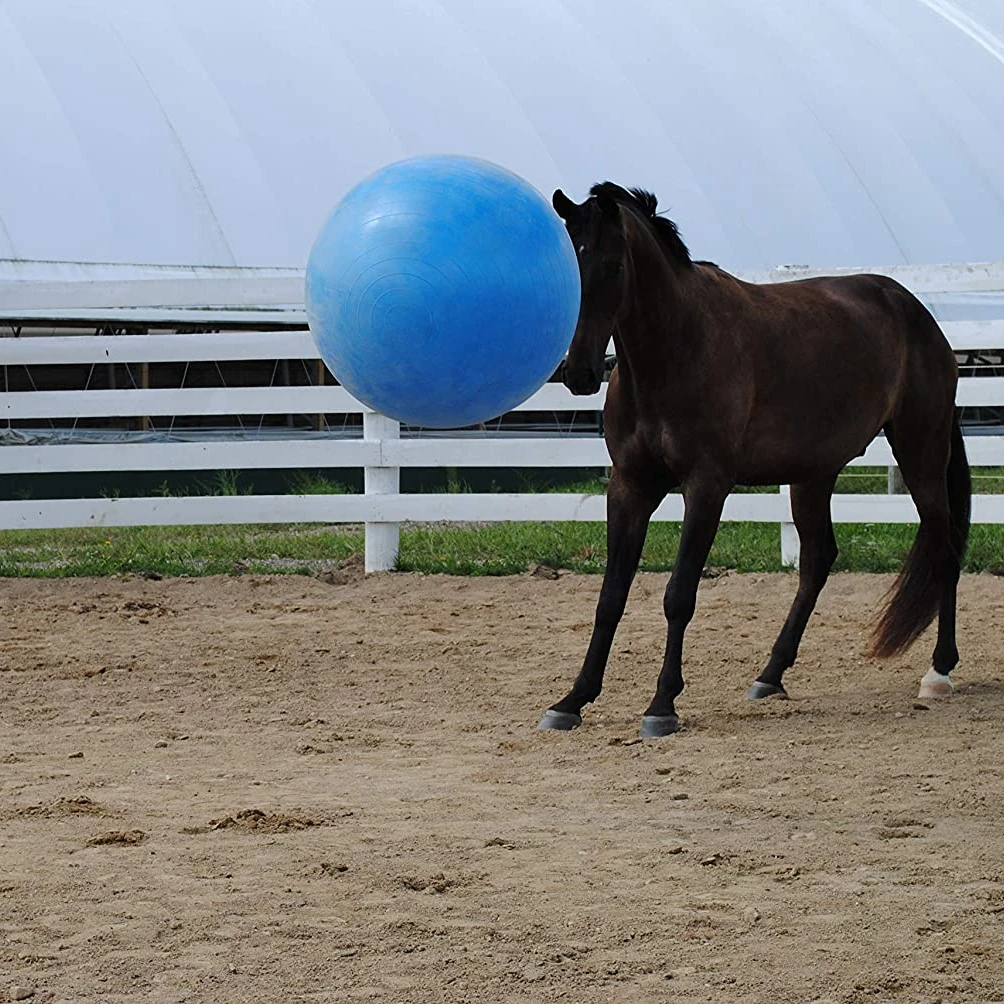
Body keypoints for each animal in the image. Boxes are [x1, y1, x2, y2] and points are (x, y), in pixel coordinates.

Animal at [539, 183, 971, 739]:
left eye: (613, 266)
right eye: (571, 264)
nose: (579, 373)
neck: (675, 351)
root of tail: (915, 312)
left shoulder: (706, 487)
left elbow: (679, 595)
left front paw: (662, 705)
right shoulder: (630, 487)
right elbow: (610, 597)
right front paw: (573, 699)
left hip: (921, 452)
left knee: (943, 551)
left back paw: (939, 671)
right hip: (814, 476)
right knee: (818, 561)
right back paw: (770, 675)